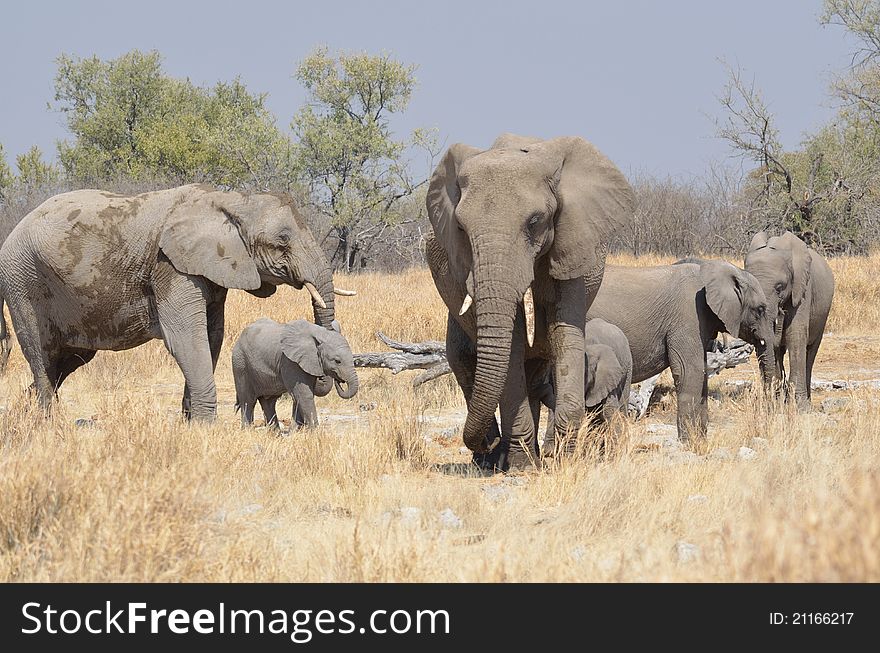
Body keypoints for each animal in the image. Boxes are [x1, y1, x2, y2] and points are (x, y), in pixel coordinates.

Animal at [0, 183, 350, 418]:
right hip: (22, 281)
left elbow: (211, 336)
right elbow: (186, 337)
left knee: (67, 359)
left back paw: (27, 408)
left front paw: (190, 422)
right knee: (40, 353)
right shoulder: (170, 265)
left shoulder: (208, 271)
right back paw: (47, 421)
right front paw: (205, 427)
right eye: (282, 241)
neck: (230, 200)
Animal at [424, 134, 632, 468]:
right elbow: (513, 348)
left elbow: (565, 335)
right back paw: (490, 461)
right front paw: (522, 466)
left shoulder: (571, 246)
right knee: (466, 363)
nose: (488, 441)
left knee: (535, 372)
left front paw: (562, 460)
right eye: (460, 228)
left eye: (535, 222)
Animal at [588, 258, 772, 440]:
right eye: (760, 309)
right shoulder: (689, 315)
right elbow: (689, 372)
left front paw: (700, 441)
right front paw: (690, 442)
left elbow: (701, 374)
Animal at [744, 230, 836, 408]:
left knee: (810, 353)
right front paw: (777, 403)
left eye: (779, 287)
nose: (780, 313)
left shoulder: (802, 289)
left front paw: (800, 407)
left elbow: (796, 336)